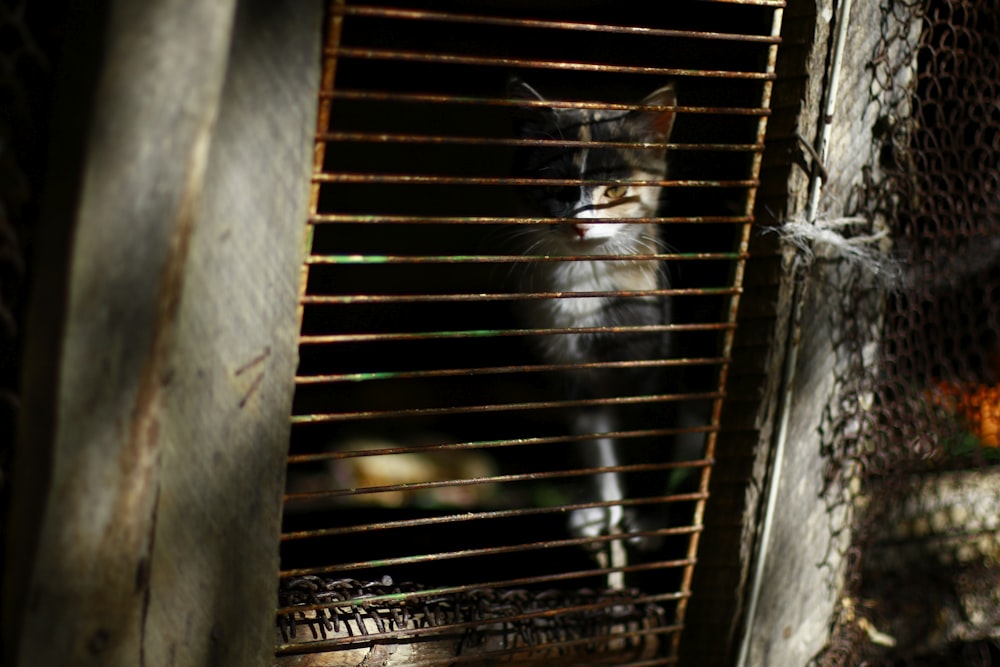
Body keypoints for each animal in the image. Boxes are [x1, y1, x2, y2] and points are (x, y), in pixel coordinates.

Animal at [508, 78, 688, 552]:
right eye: (555, 182)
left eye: (616, 191)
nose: (580, 223)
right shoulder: (568, 368)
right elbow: (595, 439)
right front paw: (601, 508)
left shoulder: (658, 366)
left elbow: (653, 437)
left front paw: (648, 517)